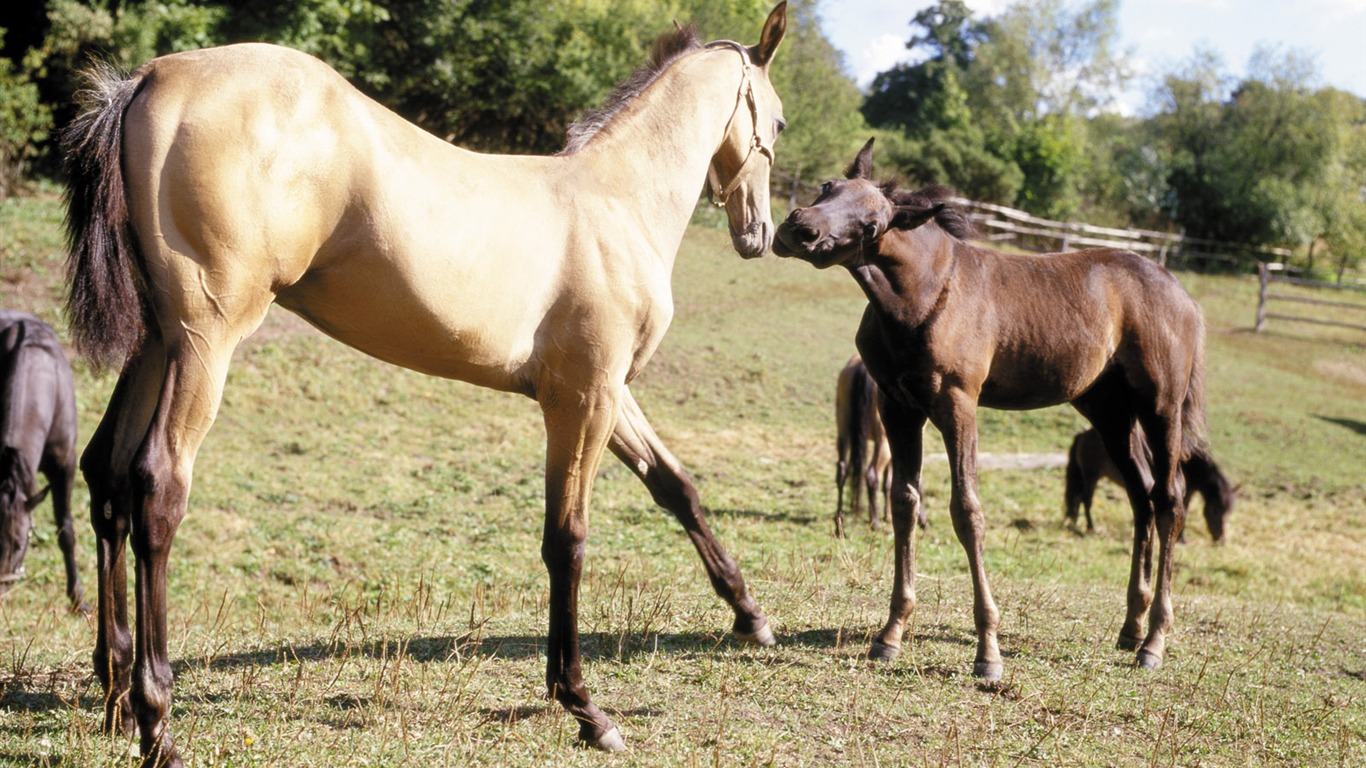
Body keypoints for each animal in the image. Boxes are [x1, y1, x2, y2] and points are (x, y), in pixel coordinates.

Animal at [61, 4, 792, 759]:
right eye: (779, 122)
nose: (761, 233)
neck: (616, 201)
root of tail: (152, 77)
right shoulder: (583, 398)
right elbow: (568, 539)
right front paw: (584, 706)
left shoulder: (603, 393)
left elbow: (676, 487)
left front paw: (751, 617)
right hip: (205, 340)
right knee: (157, 487)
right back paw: (156, 722)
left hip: (158, 341)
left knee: (107, 476)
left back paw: (116, 695)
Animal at [775, 137, 1213, 675]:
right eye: (828, 186)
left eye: (872, 225)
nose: (799, 229)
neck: (923, 296)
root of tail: (1185, 298)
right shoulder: (899, 408)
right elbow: (904, 502)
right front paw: (891, 633)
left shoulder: (958, 402)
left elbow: (967, 511)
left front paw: (988, 651)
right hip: (1109, 412)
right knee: (1142, 497)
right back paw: (1130, 628)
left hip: (1160, 406)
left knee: (1169, 497)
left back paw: (1154, 640)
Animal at [1065, 423, 1240, 538]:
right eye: (1215, 510)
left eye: (1229, 512)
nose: (1220, 539)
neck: (1190, 463)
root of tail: (1083, 433)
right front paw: (1181, 538)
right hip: (1091, 476)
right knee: (1086, 500)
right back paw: (1091, 527)